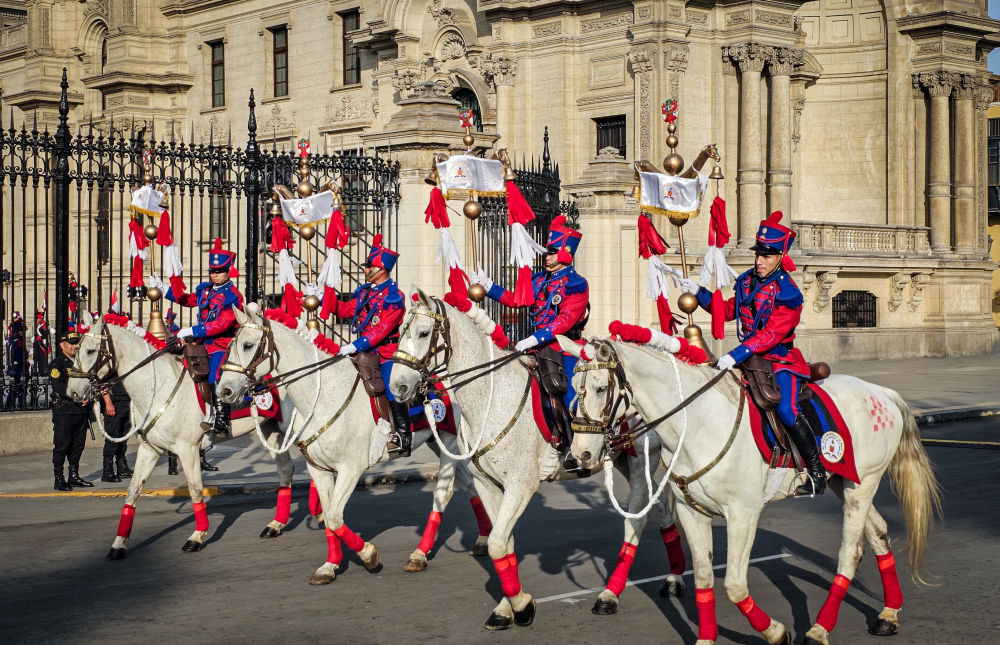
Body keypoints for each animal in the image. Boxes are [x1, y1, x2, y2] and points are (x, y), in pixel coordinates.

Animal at [66, 314, 298, 556]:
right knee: (285, 469)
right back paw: (275, 525)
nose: (72, 391)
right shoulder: (149, 449)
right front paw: (119, 543)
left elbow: (195, 490)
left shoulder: (188, 449)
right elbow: (133, 492)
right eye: (76, 350)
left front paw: (197, 536)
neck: (158, 386)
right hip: (271, 428)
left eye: (91, 350)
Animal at [220, 306, 500, 584]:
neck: (322, 396)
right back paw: (483, 537)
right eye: (230, 344)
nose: (223, 391)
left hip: (449, 441)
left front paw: (367, 555)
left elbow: (334, 517)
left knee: (443, 493)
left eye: (247, 345)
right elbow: (330, 517)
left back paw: (420, 554)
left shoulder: (350, 468)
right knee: (468, 482)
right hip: (437, 441)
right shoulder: (318, 469)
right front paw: (330, 566)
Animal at [388, 290, 688, 628]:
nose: (397, 386)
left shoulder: (521, 484)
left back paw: (610, 595)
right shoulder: (489, 485)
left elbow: (497, 543)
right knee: (661, 510)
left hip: (640, 464)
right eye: (399, 332)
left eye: (423, 333)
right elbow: (503, 544)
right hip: (626, 461)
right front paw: (506, 607)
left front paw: (522, 606)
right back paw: (675, 577)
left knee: (636, 520)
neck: (491, 398)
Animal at [560, 338, 940, 644]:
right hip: (844, 482)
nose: (580, 455)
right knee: (879, 534)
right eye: (573, 386)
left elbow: (734, 584)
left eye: (599, 388)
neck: (698, 422)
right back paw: (888, 614)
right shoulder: (691, 512)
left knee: (850, 553)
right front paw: (707, 638)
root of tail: (880, 392)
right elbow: (703, 579)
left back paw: (818, 630)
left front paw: (776, 632)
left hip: (862, 486)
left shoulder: (743, 514)